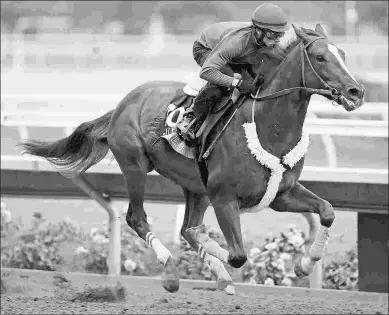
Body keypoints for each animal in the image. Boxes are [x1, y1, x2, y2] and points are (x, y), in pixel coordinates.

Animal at [19, 24, 362, 296]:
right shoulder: (224, 198)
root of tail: (124, 102)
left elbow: (327, 211)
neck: (268, 126)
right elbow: (238, 254)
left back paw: (220, 277)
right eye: (320, 57)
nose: (355, 92)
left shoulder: (281, 193)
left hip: (196, 186)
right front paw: (222, 258)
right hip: (135, 166)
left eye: (344, 54)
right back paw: (172, 272)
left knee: (187, 228)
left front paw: (304, 264)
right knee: (138, 218)